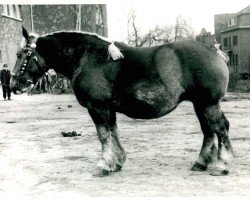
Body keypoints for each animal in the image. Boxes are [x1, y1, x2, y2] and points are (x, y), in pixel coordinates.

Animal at [10, 27, 234, 177]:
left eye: (21, 54)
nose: (14, 85)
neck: (87, 56)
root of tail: (213, 51)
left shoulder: (98, 108)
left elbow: (103, 135)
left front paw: (104, 165)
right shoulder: (109, 109)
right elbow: (113, 133)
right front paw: (116, 162)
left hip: (208, 104)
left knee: (220, 128)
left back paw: (222, 165)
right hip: (200, 104)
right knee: (208, 130)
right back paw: (201, 163)